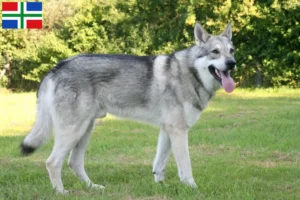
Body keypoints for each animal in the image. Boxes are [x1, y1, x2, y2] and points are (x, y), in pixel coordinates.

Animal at [20, 21, 237, 194]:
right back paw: (61, 192)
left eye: (231, 51)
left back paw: (93, 188)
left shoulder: (168, 130)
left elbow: (159, 163)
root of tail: (57, 67)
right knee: (52, 162)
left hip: (85, 129)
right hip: (74, 131)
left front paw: (161, 186)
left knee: (73, 162)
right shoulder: (178, 131)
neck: (191, 73)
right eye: (215, 52)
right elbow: (186, 167)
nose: (232, 63)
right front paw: (193, 188)